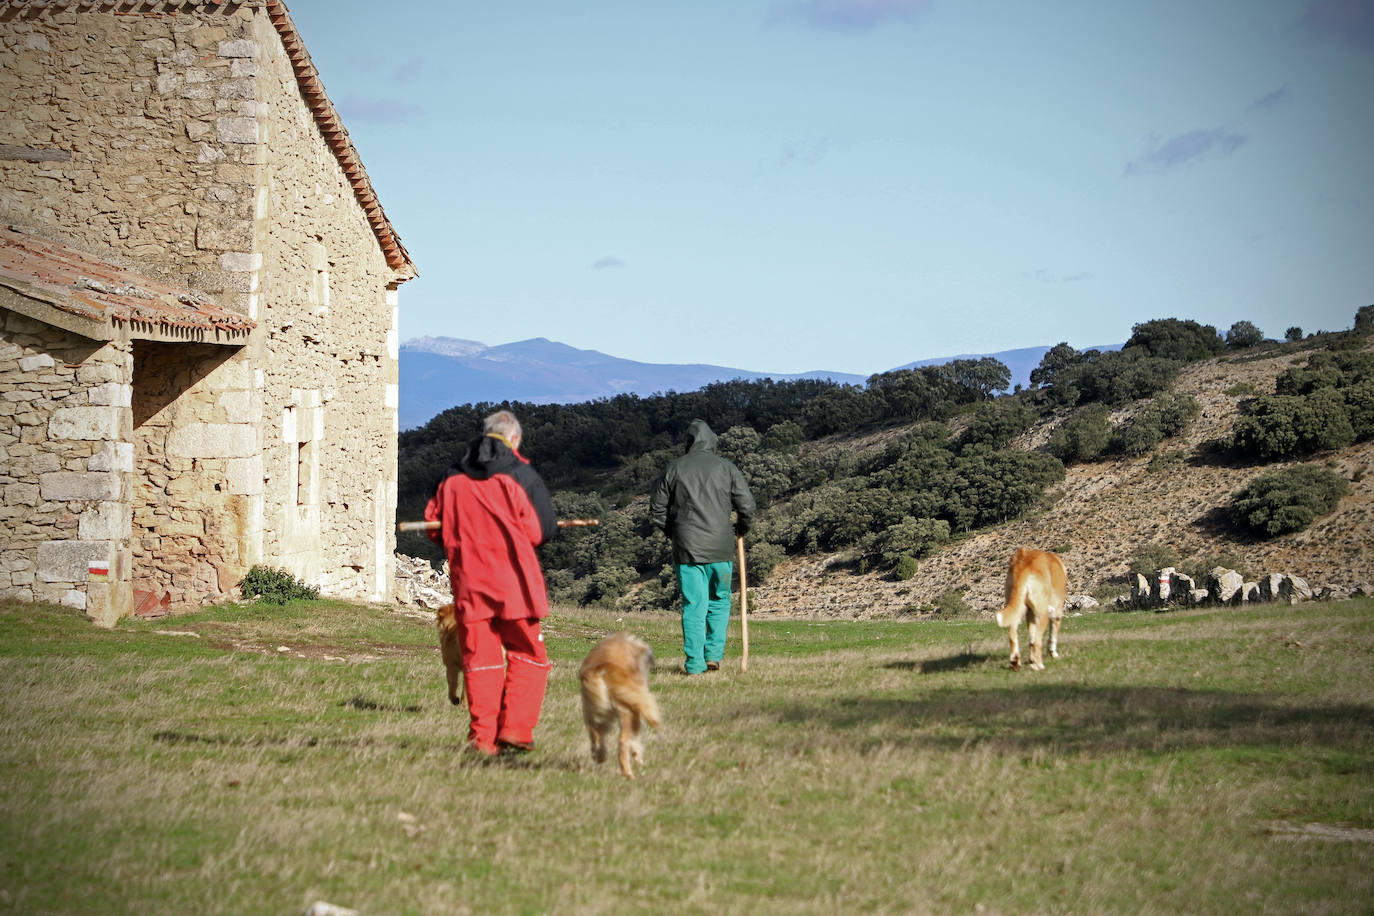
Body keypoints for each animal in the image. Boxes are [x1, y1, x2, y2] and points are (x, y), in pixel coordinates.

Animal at [577, 637, 662, 780]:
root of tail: (604, 669)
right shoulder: (636, 711)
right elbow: (635, 739)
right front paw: (638, 758)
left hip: (592, 712)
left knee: (594, 734)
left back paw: (600, 756)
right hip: (626, 712)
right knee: (622, 742)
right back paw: (628, 774)